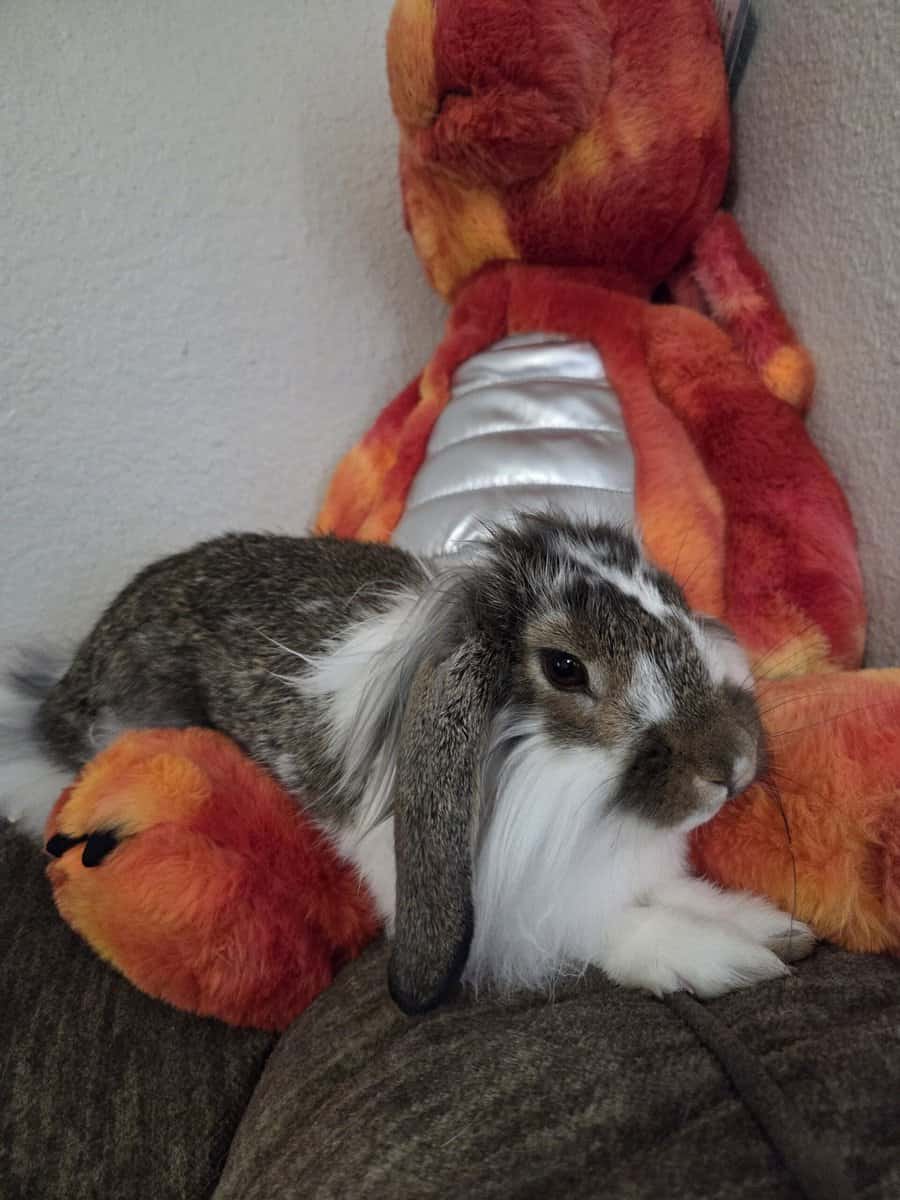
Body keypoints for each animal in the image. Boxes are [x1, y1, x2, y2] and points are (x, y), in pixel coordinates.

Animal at [1, 512, 813, 1014]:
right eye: (564, 668)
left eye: (675, 598)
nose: (733, 766)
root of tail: (61, 695)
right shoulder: (516, 915)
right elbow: (605, 929)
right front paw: (720, 959)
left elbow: (677, 894)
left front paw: (771, 930)